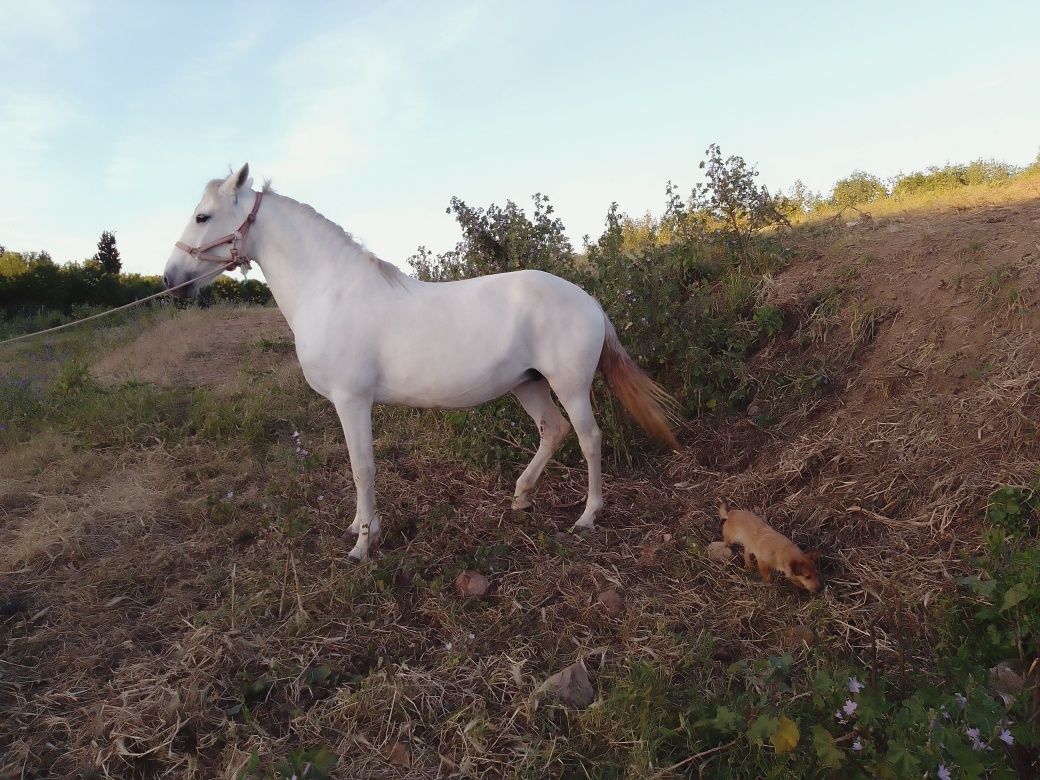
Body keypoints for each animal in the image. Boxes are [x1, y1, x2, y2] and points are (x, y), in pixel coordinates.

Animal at [162, 163, 678, 561]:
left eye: (203, 215)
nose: (170, 279)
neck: (329, 291)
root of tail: (587, 299)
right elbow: (359, 467)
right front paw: (357, 528)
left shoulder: (352, 401)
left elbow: (362, 468)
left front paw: (363, 545)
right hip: (527, 383)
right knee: (554, 431)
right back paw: (521, 498)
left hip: (569, 385)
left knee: (590, 439)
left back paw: (587, 517)